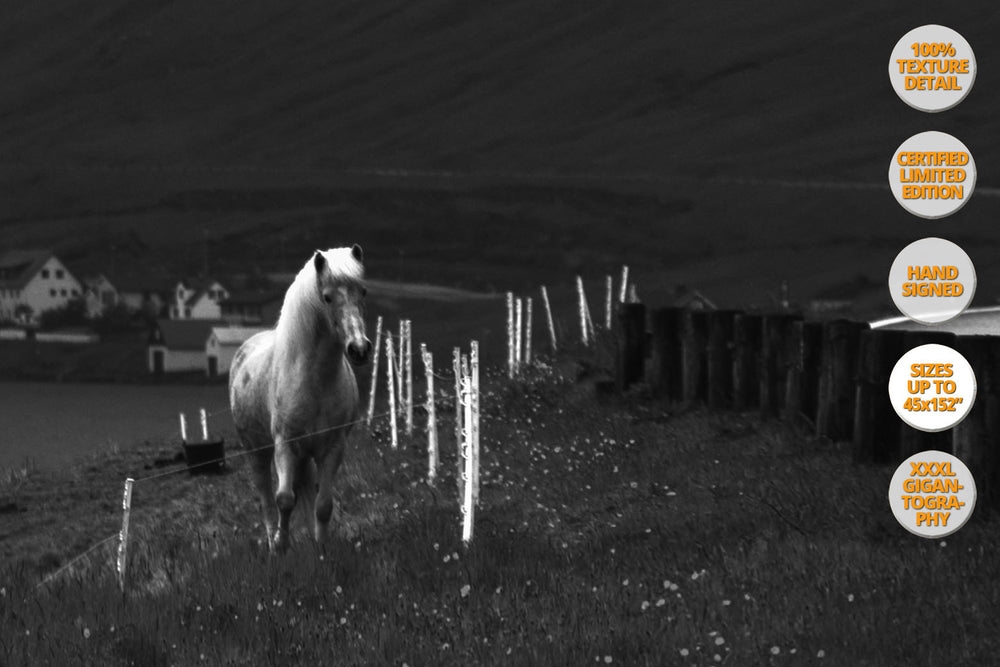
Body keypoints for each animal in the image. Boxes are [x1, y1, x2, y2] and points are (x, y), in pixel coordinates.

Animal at [229, 245, 374, 552]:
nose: (359, 349)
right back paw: (272, 543)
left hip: (304, 455)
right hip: (257, 453)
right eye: (327, 297)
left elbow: (323, 504)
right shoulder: (285, 445)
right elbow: (284, 499)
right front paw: (282, 546)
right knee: (266, 499)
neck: (314, 381)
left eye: (363, 291)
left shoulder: (332, 448)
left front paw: (321, 548)